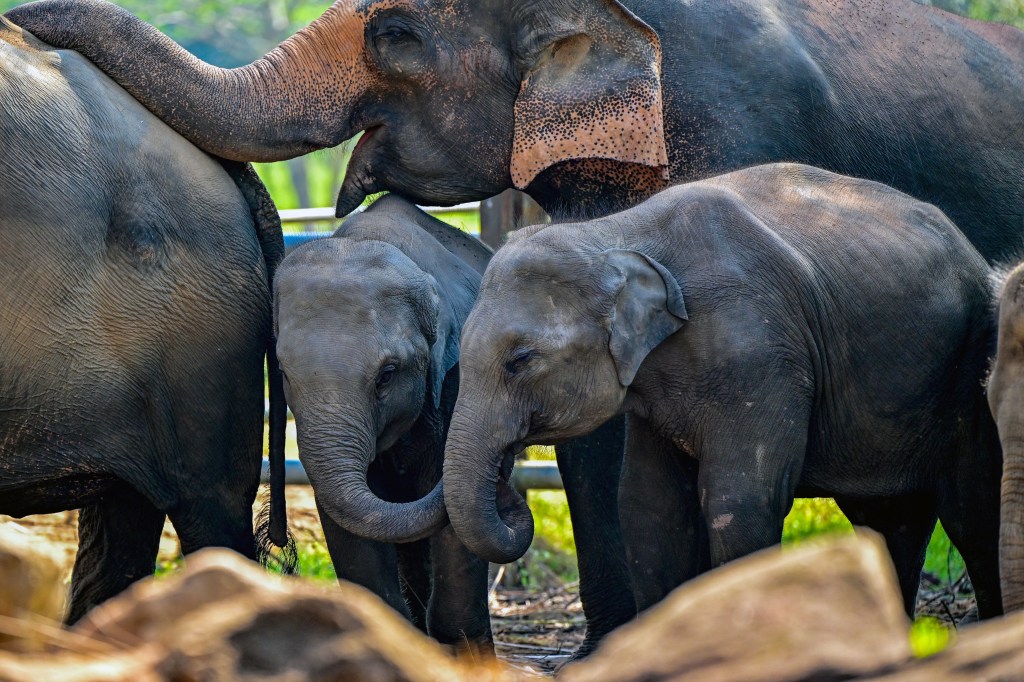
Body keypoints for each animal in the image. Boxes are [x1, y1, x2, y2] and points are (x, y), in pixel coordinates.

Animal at [442, 163, 1005, 621]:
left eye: (520, 360)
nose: (510, 480)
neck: (616, 233)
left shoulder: (760, 355)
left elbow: (742, 503)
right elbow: (650, 509)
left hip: (970, 371)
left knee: (973, 514)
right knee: (889, 522)